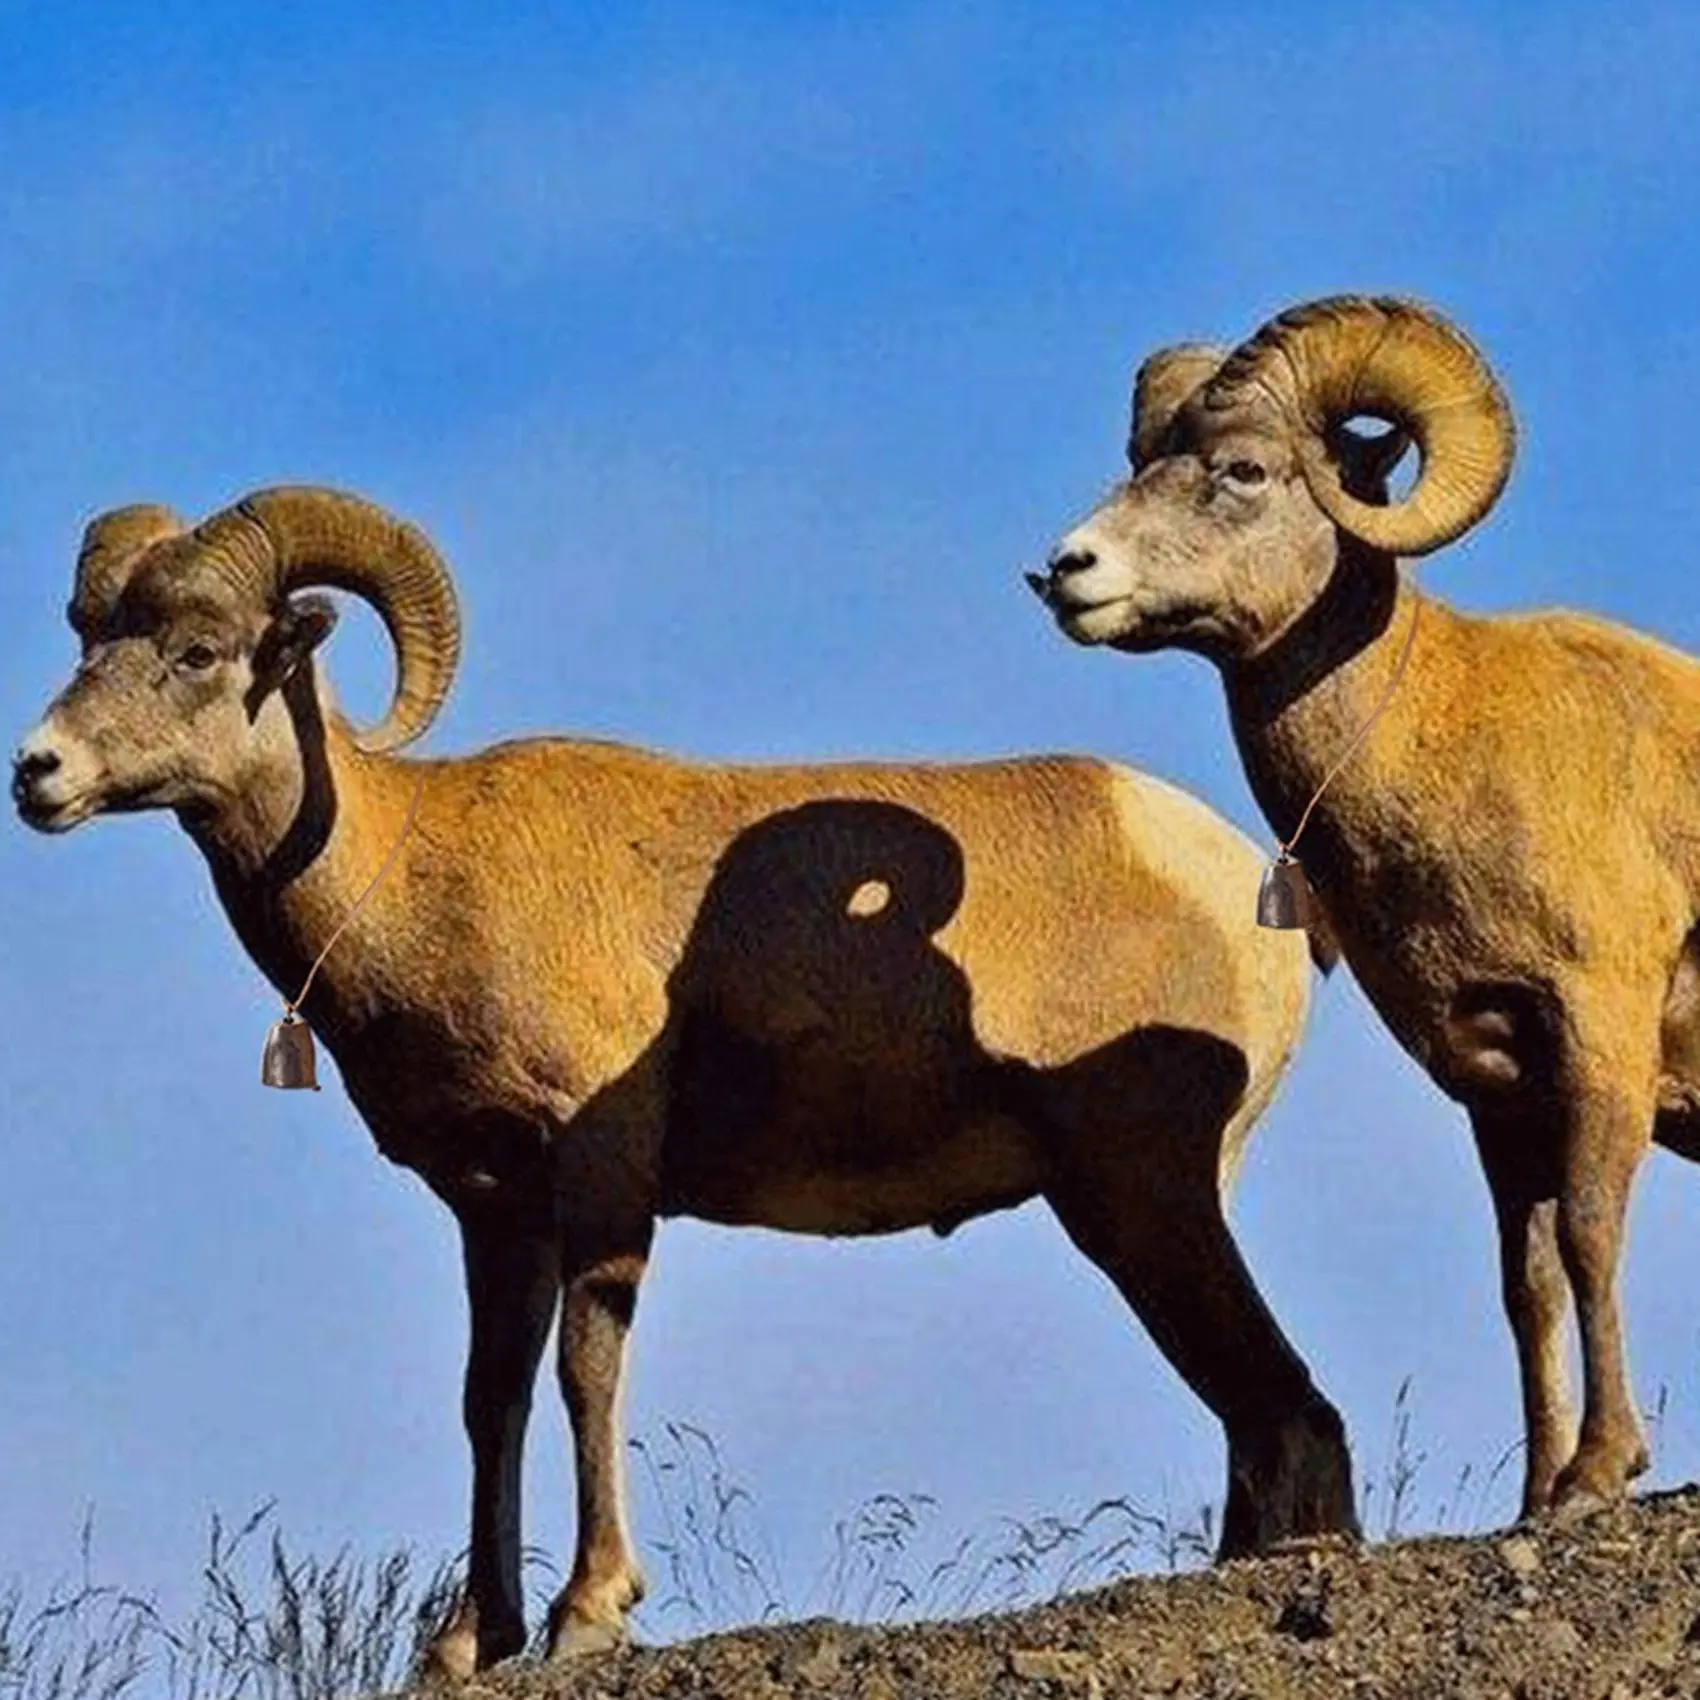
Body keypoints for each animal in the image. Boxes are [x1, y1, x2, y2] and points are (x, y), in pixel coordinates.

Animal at [12, 486, 1356, 1672]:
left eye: (198, 649)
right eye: (88, 635)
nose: (37, 770)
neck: (412, 873)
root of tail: (1248, 883)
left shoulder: (599, 1178)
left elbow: (583, 1371)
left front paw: (588, 1614)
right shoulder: (494, 1211)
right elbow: (489, 1397)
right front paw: (469, 1640)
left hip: (1140, 1194)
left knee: (1285, 1405)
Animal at [1031, 292, 1700, 1529]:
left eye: (1243, 469)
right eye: (1141, 462)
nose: (1064, 569)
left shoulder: (1600, 1038)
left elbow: (1591, 1237)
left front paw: (1595, 1474)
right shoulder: (1497, 1090)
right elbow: (1528, 1282)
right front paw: (1535, 1492)